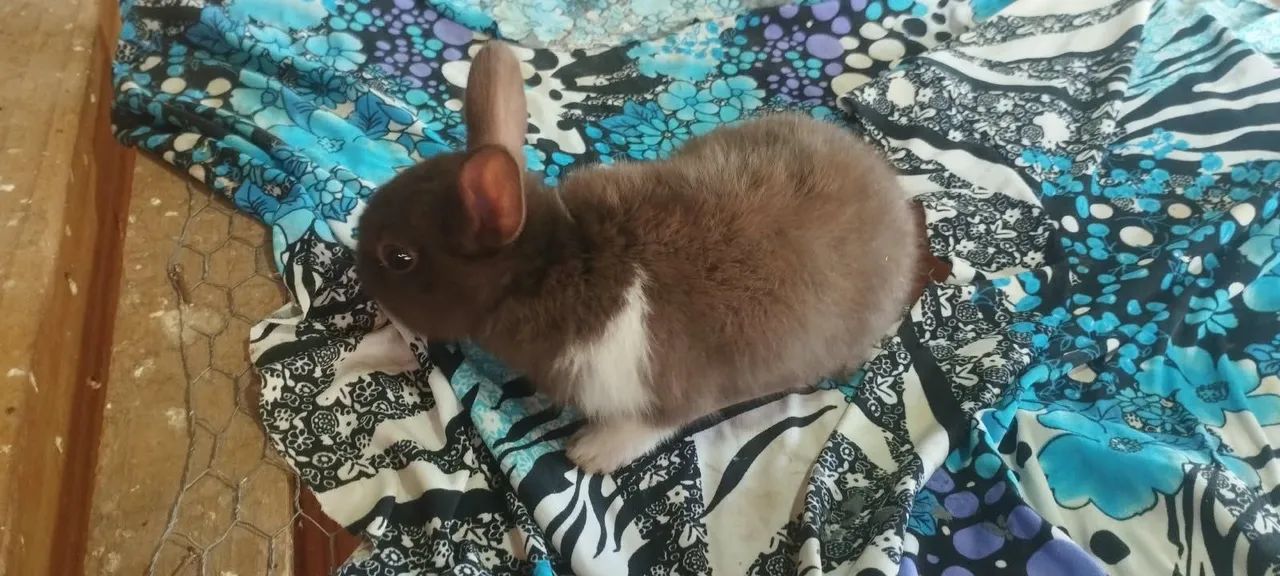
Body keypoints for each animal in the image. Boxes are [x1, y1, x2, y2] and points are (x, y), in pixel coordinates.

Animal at [355, 41, 922, 474]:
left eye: (398, 257)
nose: (358, 273)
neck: (555, 266)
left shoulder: (666, 387)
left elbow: (656, 423)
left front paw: (591, 452)